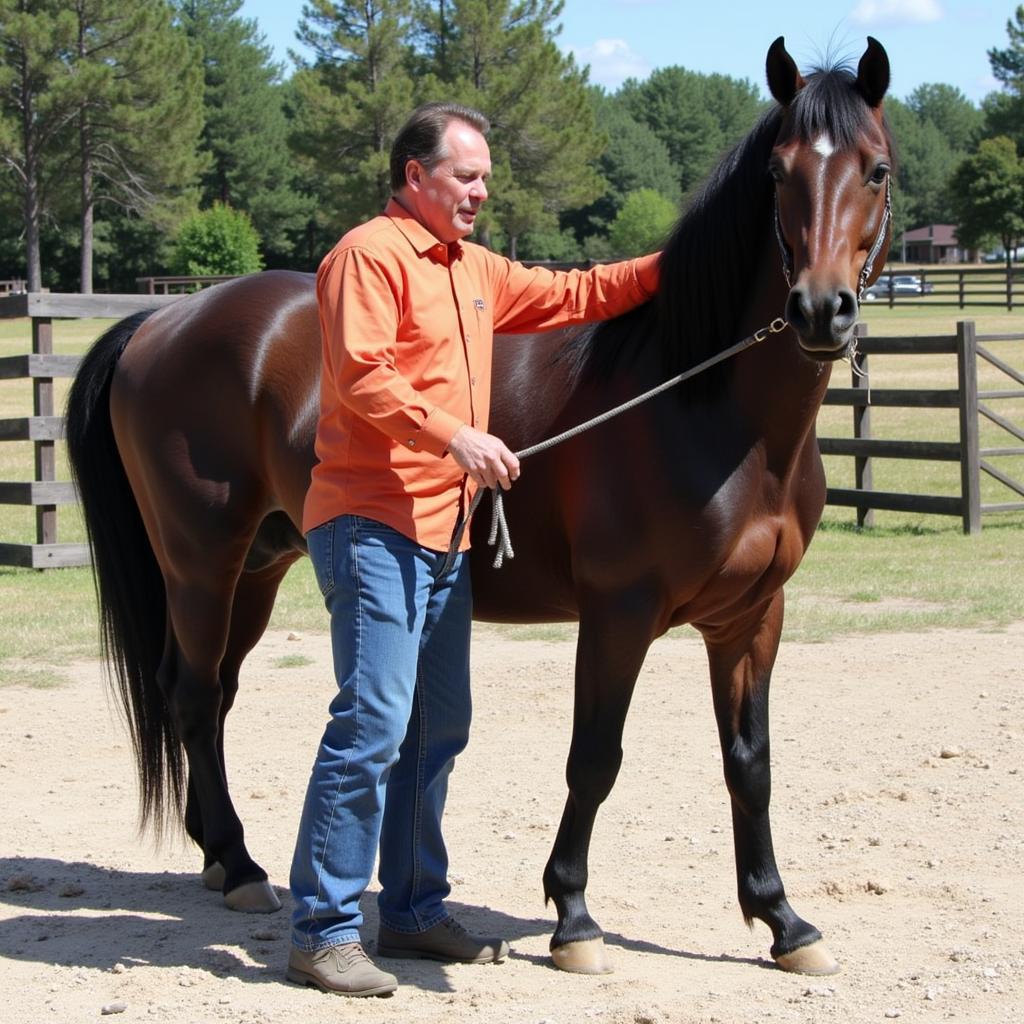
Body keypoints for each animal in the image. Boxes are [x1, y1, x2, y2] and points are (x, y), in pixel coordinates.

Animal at [68, 39, 892, 974]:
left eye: (876, 169)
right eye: (779, 173)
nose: (820, 310)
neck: (707, 407)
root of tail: (162, 319)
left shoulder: (753, 616)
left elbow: (750, 764)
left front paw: (784, 920)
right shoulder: (619, 611)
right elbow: (594, 759)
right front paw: (574, 916)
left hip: (258, 566)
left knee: (209, 696)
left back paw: (217, 855)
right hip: (200, 563)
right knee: (195, 695)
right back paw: (241, 866)